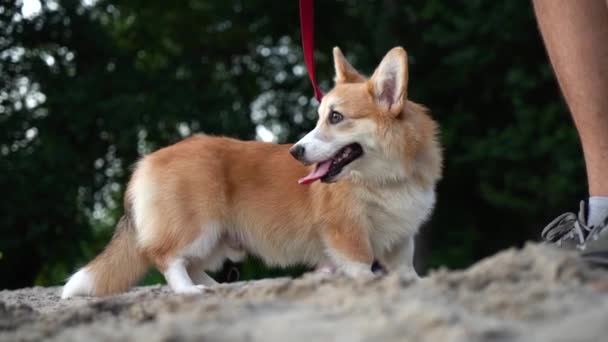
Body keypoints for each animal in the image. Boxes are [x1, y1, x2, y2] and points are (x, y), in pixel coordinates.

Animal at [61, 46, 442, 298]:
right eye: (322, 116)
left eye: (335, 117)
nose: (295, 152)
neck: (384, 179)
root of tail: (146, 162)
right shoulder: (346, 233)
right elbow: (362, 266)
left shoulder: (401, 237)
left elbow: (405, 269)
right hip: (198, 227)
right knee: (167, 258)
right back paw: (189, 291)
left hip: (215, 237)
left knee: (192, 264)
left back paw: (213, 287)